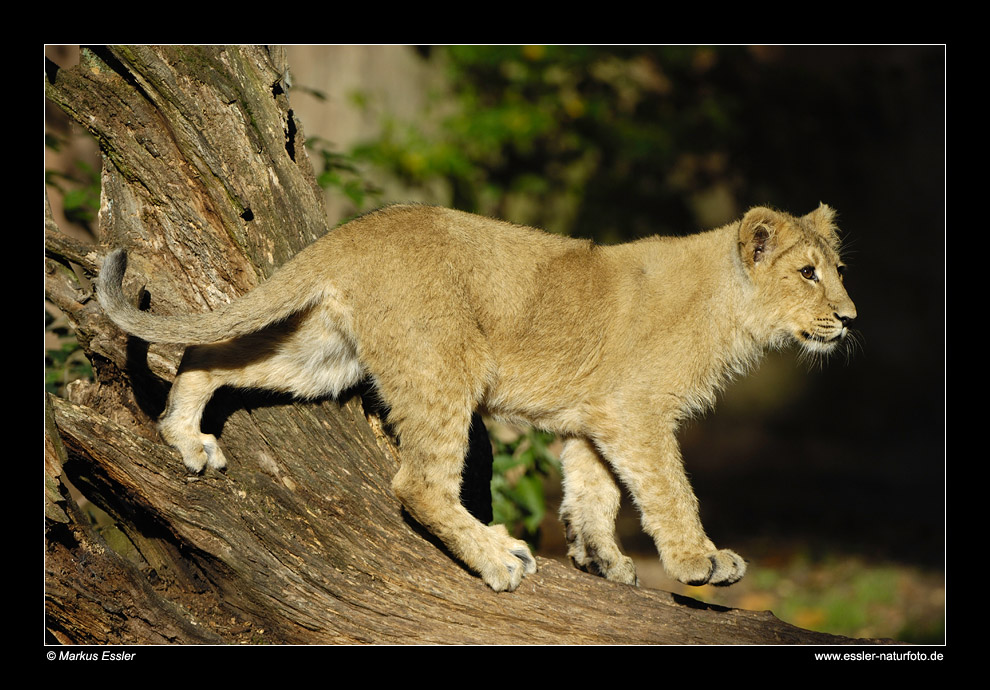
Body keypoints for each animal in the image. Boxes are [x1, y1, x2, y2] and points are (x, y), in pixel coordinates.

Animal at [99, 202, 860, 588]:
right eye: (809, 273)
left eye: (836, 270)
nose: (852, 318)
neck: (732, 309)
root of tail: (356, 229)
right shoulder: (635, 412)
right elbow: (671, 490)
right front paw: (701, 560)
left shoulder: (594, 416)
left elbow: (594, 493)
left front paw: (602, 561)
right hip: (444, 365)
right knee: (417, 485)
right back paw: (498, 558)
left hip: (321, 356)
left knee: (211, 355)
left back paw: (185, 437)